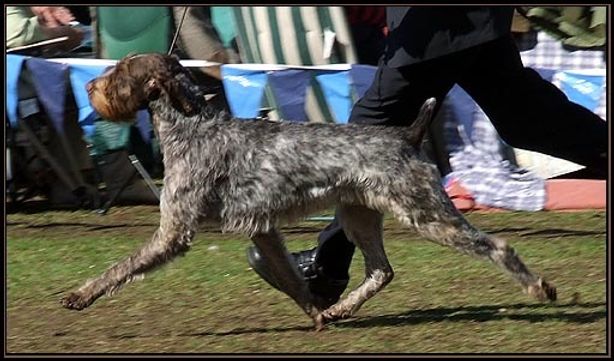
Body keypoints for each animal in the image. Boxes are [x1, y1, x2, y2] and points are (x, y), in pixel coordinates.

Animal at [61, 53, 560, 330]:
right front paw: (318, 314)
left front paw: (81, 295)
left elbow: (121, 268)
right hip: (360, 216)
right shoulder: (262, 230)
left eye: (120, 73)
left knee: (496, 246)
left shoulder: (174, 233)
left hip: (426, 213)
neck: (189, 125)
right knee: (380, 271)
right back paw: (342, 310)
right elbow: (291, 280)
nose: (89, 85)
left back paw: (538, 288)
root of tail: (408, 135)